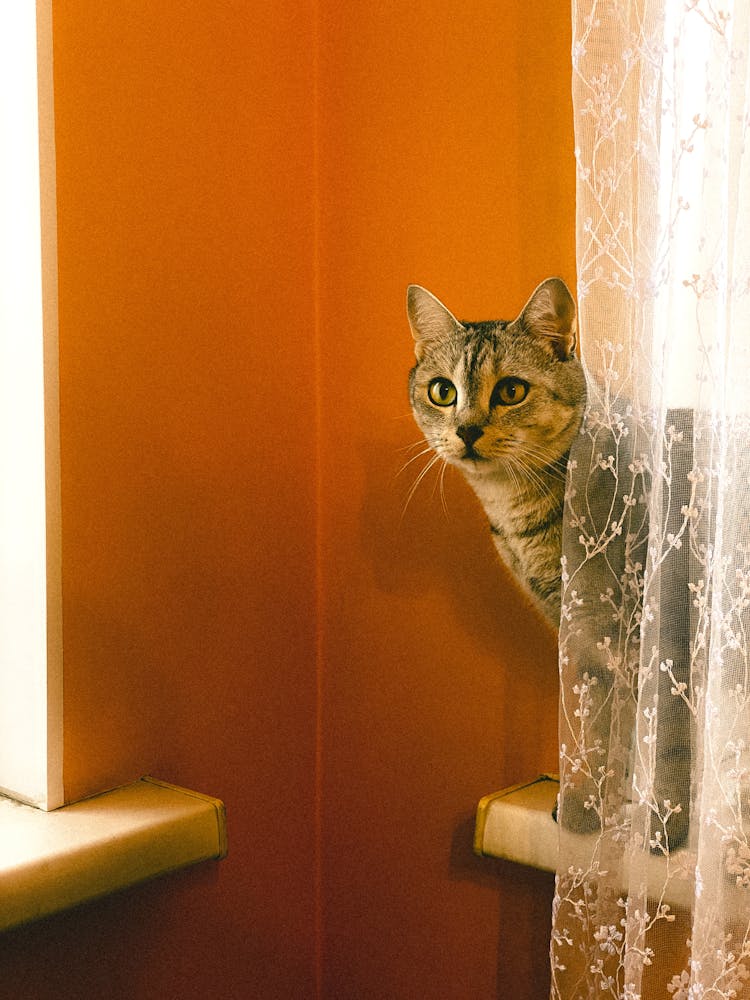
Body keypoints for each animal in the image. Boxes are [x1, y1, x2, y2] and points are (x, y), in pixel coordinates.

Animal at [408, 278, 696, 848]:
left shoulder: (660, 628)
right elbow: (598, 730)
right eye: (442, 391)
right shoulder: (579, 632)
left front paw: (662, 824)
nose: (466, 429)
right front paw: (589, 803)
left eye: (511, 391)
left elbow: (665, 736)